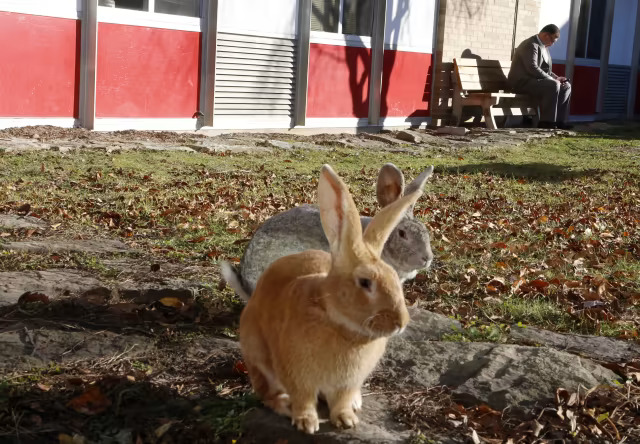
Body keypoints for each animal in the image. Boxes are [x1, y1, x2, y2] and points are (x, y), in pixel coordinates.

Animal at [235, 163, 420, 434]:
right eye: (365, 283)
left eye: (396, 278)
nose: (401, 323)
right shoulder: (297, 376)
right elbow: (303, 399)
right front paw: (307, 423)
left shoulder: (347, 383)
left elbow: (341, 401)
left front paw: (346, 420)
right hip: (257, 356)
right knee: (266, 392)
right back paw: (284, 405)